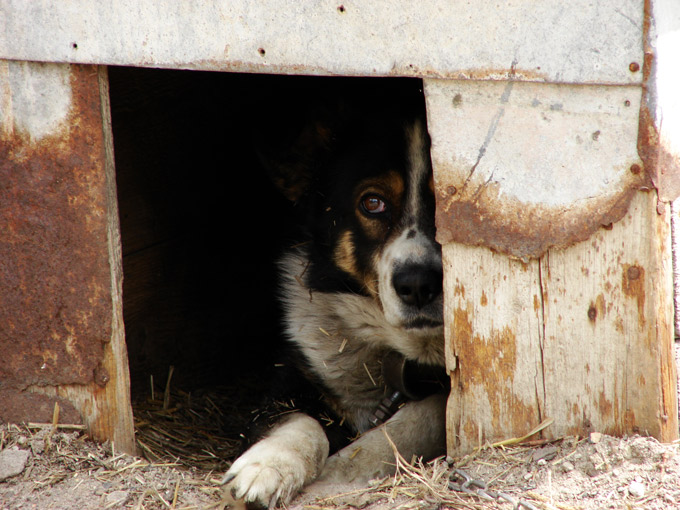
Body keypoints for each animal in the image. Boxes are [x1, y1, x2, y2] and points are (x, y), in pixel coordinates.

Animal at [220, 79, 448, 506]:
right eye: (372, 203)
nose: (417, 285)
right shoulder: (291, 379)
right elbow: (301, 421)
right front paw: (268, 466)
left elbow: (420, 417)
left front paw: (347, 467)